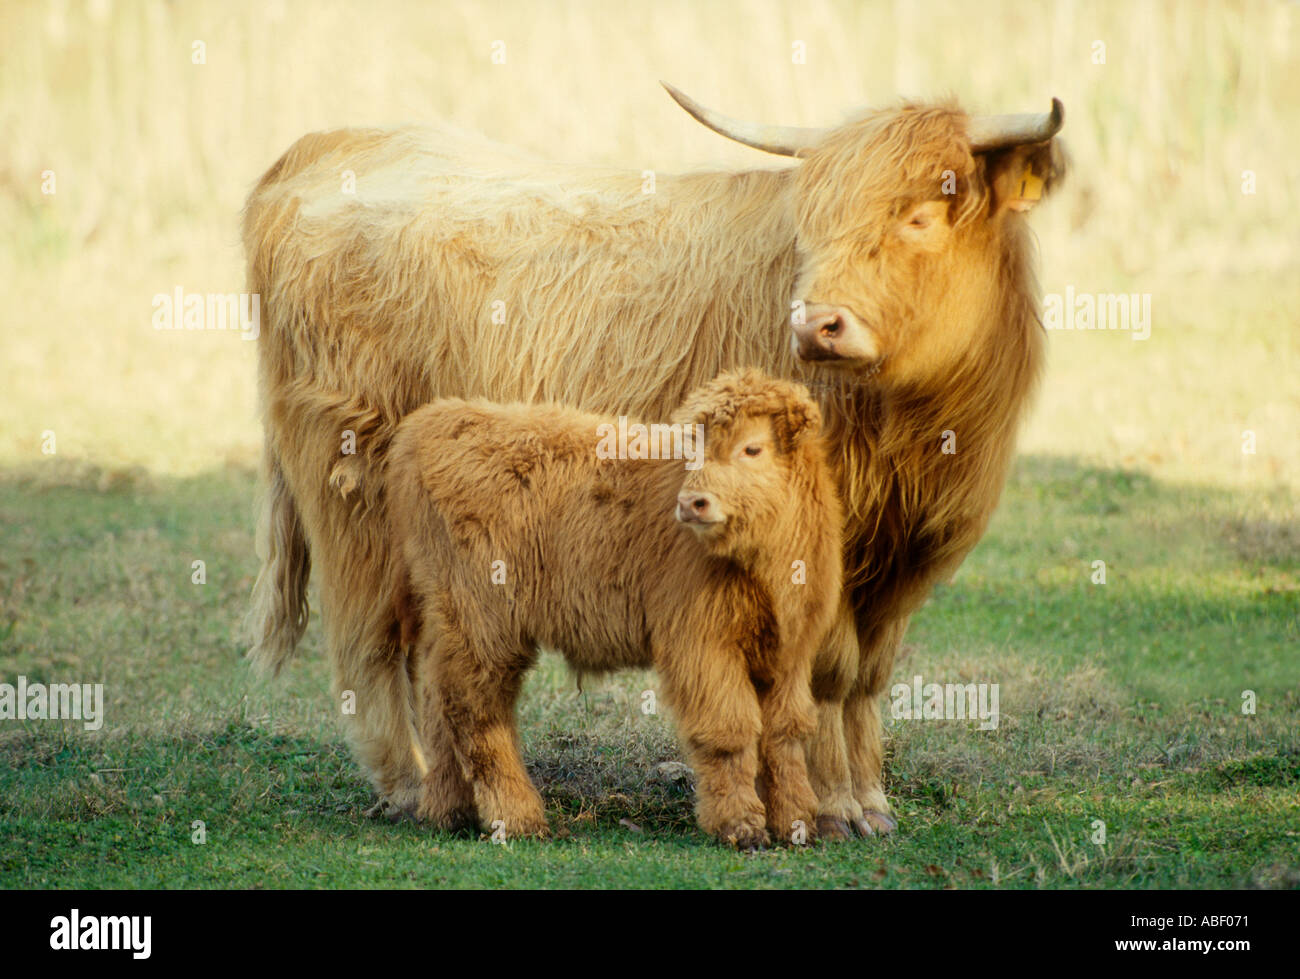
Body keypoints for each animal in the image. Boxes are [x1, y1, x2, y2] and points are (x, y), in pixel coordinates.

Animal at [384, 369, 847, 842]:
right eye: (694, 450)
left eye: (752, 448)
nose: (691, 503)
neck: (768, 571)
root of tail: (438, 418)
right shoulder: (703, 644)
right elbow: (728, 731)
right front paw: (741, 825)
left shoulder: (791, 654)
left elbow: (786, 733)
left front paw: (797, 822)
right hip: (484, 618)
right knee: (474, 708)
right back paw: (517, 817)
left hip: (449, 614)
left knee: (438, 702)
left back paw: (449, 812)